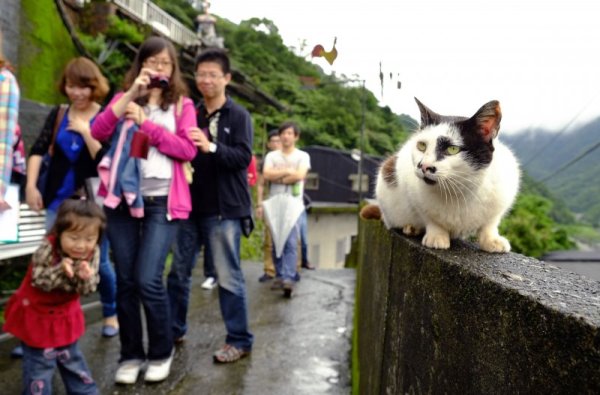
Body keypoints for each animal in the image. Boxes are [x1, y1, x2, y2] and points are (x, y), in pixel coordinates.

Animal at [360, 99, 520, 254]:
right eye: (421, 146)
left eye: (452, 149)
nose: (423, 166)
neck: (459, 191)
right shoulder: (415, 196)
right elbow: (431, 219)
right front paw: (437, 236)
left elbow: (489, 224)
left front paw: (491, 240)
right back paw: (412, 227)